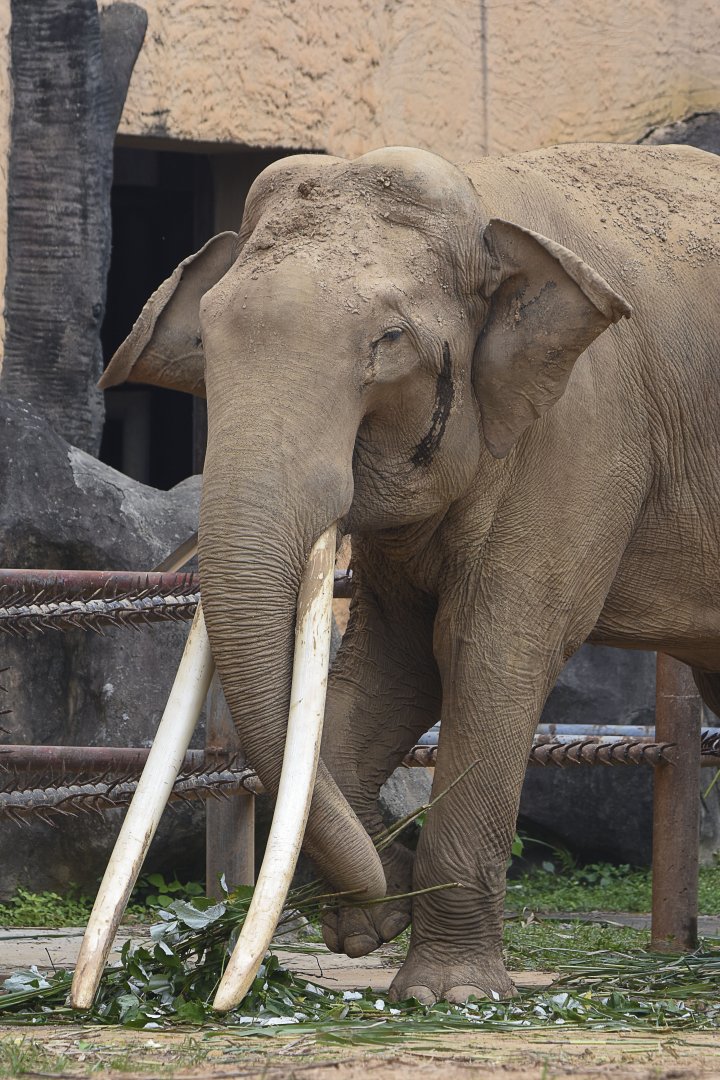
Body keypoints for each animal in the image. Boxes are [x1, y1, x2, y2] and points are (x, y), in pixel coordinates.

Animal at [100, 141, 720, 1004]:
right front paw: (372, 917)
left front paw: (447, 992)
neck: (485, 200)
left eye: (388, 340)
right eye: (208, 341)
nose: (388, 880)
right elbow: (395, 660)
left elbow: (486, 650)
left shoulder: (587, 431)